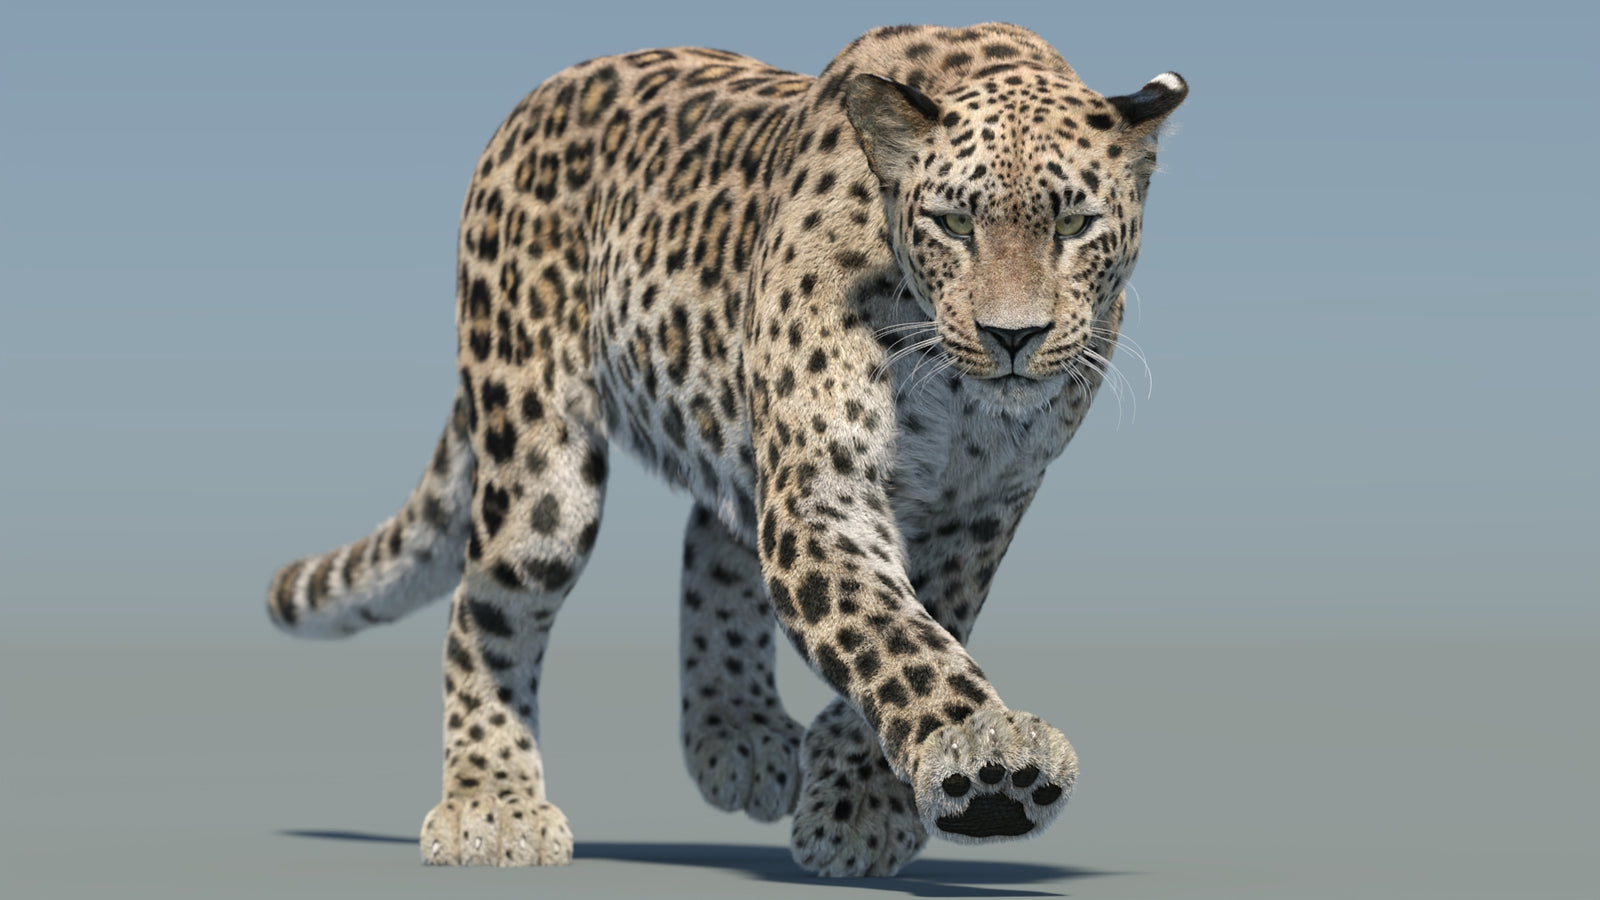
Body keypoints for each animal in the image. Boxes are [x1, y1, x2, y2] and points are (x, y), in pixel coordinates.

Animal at [266, 22, 1186, 877]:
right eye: (955, 222)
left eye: (1075, 224)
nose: (1013, 336)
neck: (960, 397)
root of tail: (533, 101)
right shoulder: (821, 493)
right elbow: (893, 637)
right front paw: (987, 763)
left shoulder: (980, 512)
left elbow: (925, 624)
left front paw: (861, 797)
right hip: (539, 463)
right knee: (485, 605)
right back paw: (491, 805)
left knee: (710, 542)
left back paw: (737, 734)